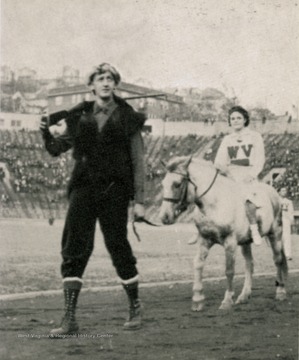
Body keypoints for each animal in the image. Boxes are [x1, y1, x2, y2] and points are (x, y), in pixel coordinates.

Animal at [159, 156, 288, 310]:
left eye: (177, 184)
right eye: (163, 184)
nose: (164, 217)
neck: (215, 203)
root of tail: (273, 193)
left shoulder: (230, 242)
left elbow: (229, 270)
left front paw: (227, 300)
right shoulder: (205, 240)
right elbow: (198, 264)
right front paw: (197, 299)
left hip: (276, 233)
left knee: (278, 260)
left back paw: (281, 292)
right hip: (245, 242)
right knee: (249, 264)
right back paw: (244, 296)